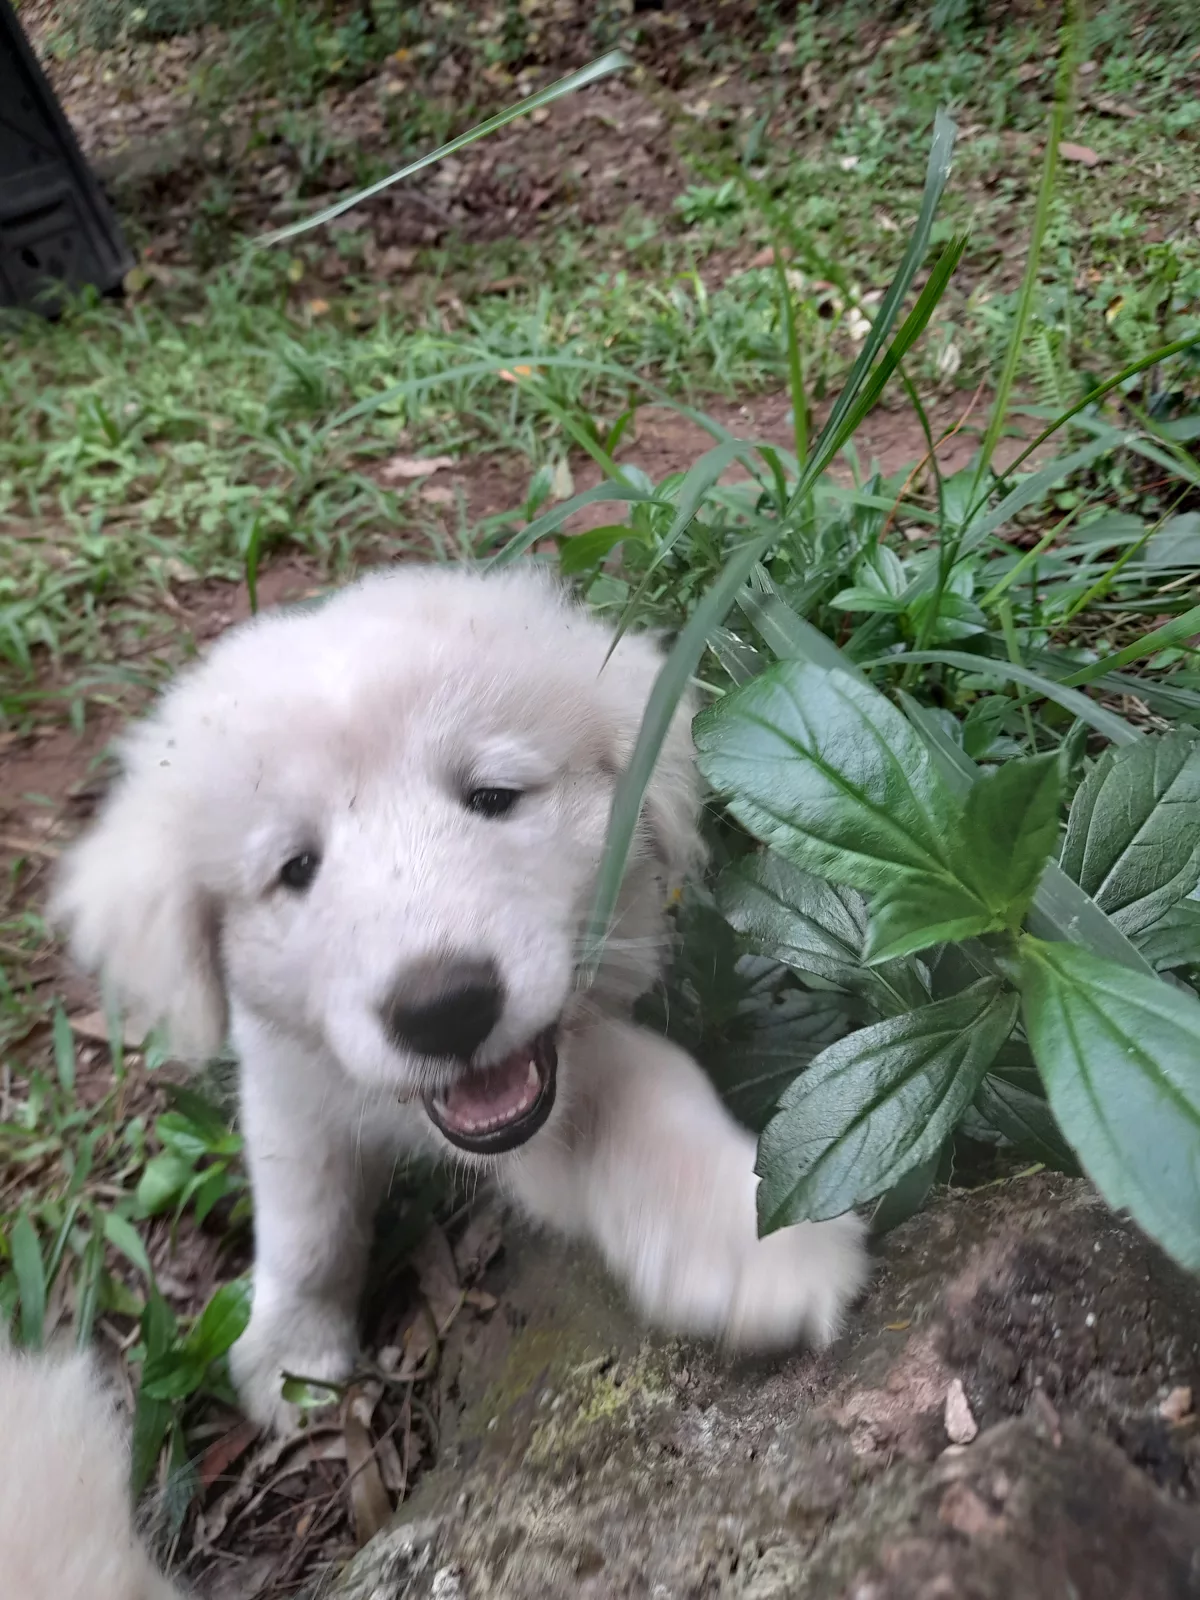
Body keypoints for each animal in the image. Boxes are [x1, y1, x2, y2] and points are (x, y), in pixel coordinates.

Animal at [52, 562, 868, 1429]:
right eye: (296, 868)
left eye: (493, 797)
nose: (443, 1011)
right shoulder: (287, 1081)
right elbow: (307, 1222)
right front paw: (289, 1350)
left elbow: (636, 1094)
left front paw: (751, 1240)